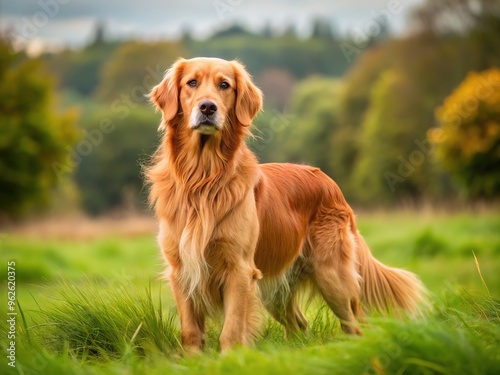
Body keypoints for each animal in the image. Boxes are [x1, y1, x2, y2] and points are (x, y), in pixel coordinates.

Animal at [146, 57, 428, 354]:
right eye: (192, 83)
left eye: (224, 85)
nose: (208, 107)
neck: (203, 179)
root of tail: (329, 181)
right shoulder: (181, 269)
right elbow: (190, 331)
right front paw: (193, 359)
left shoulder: (239, 270)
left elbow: (231, 330)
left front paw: (231, 358)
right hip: (275, 287)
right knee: (299, 323)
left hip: (333, 277)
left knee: (355, 324)